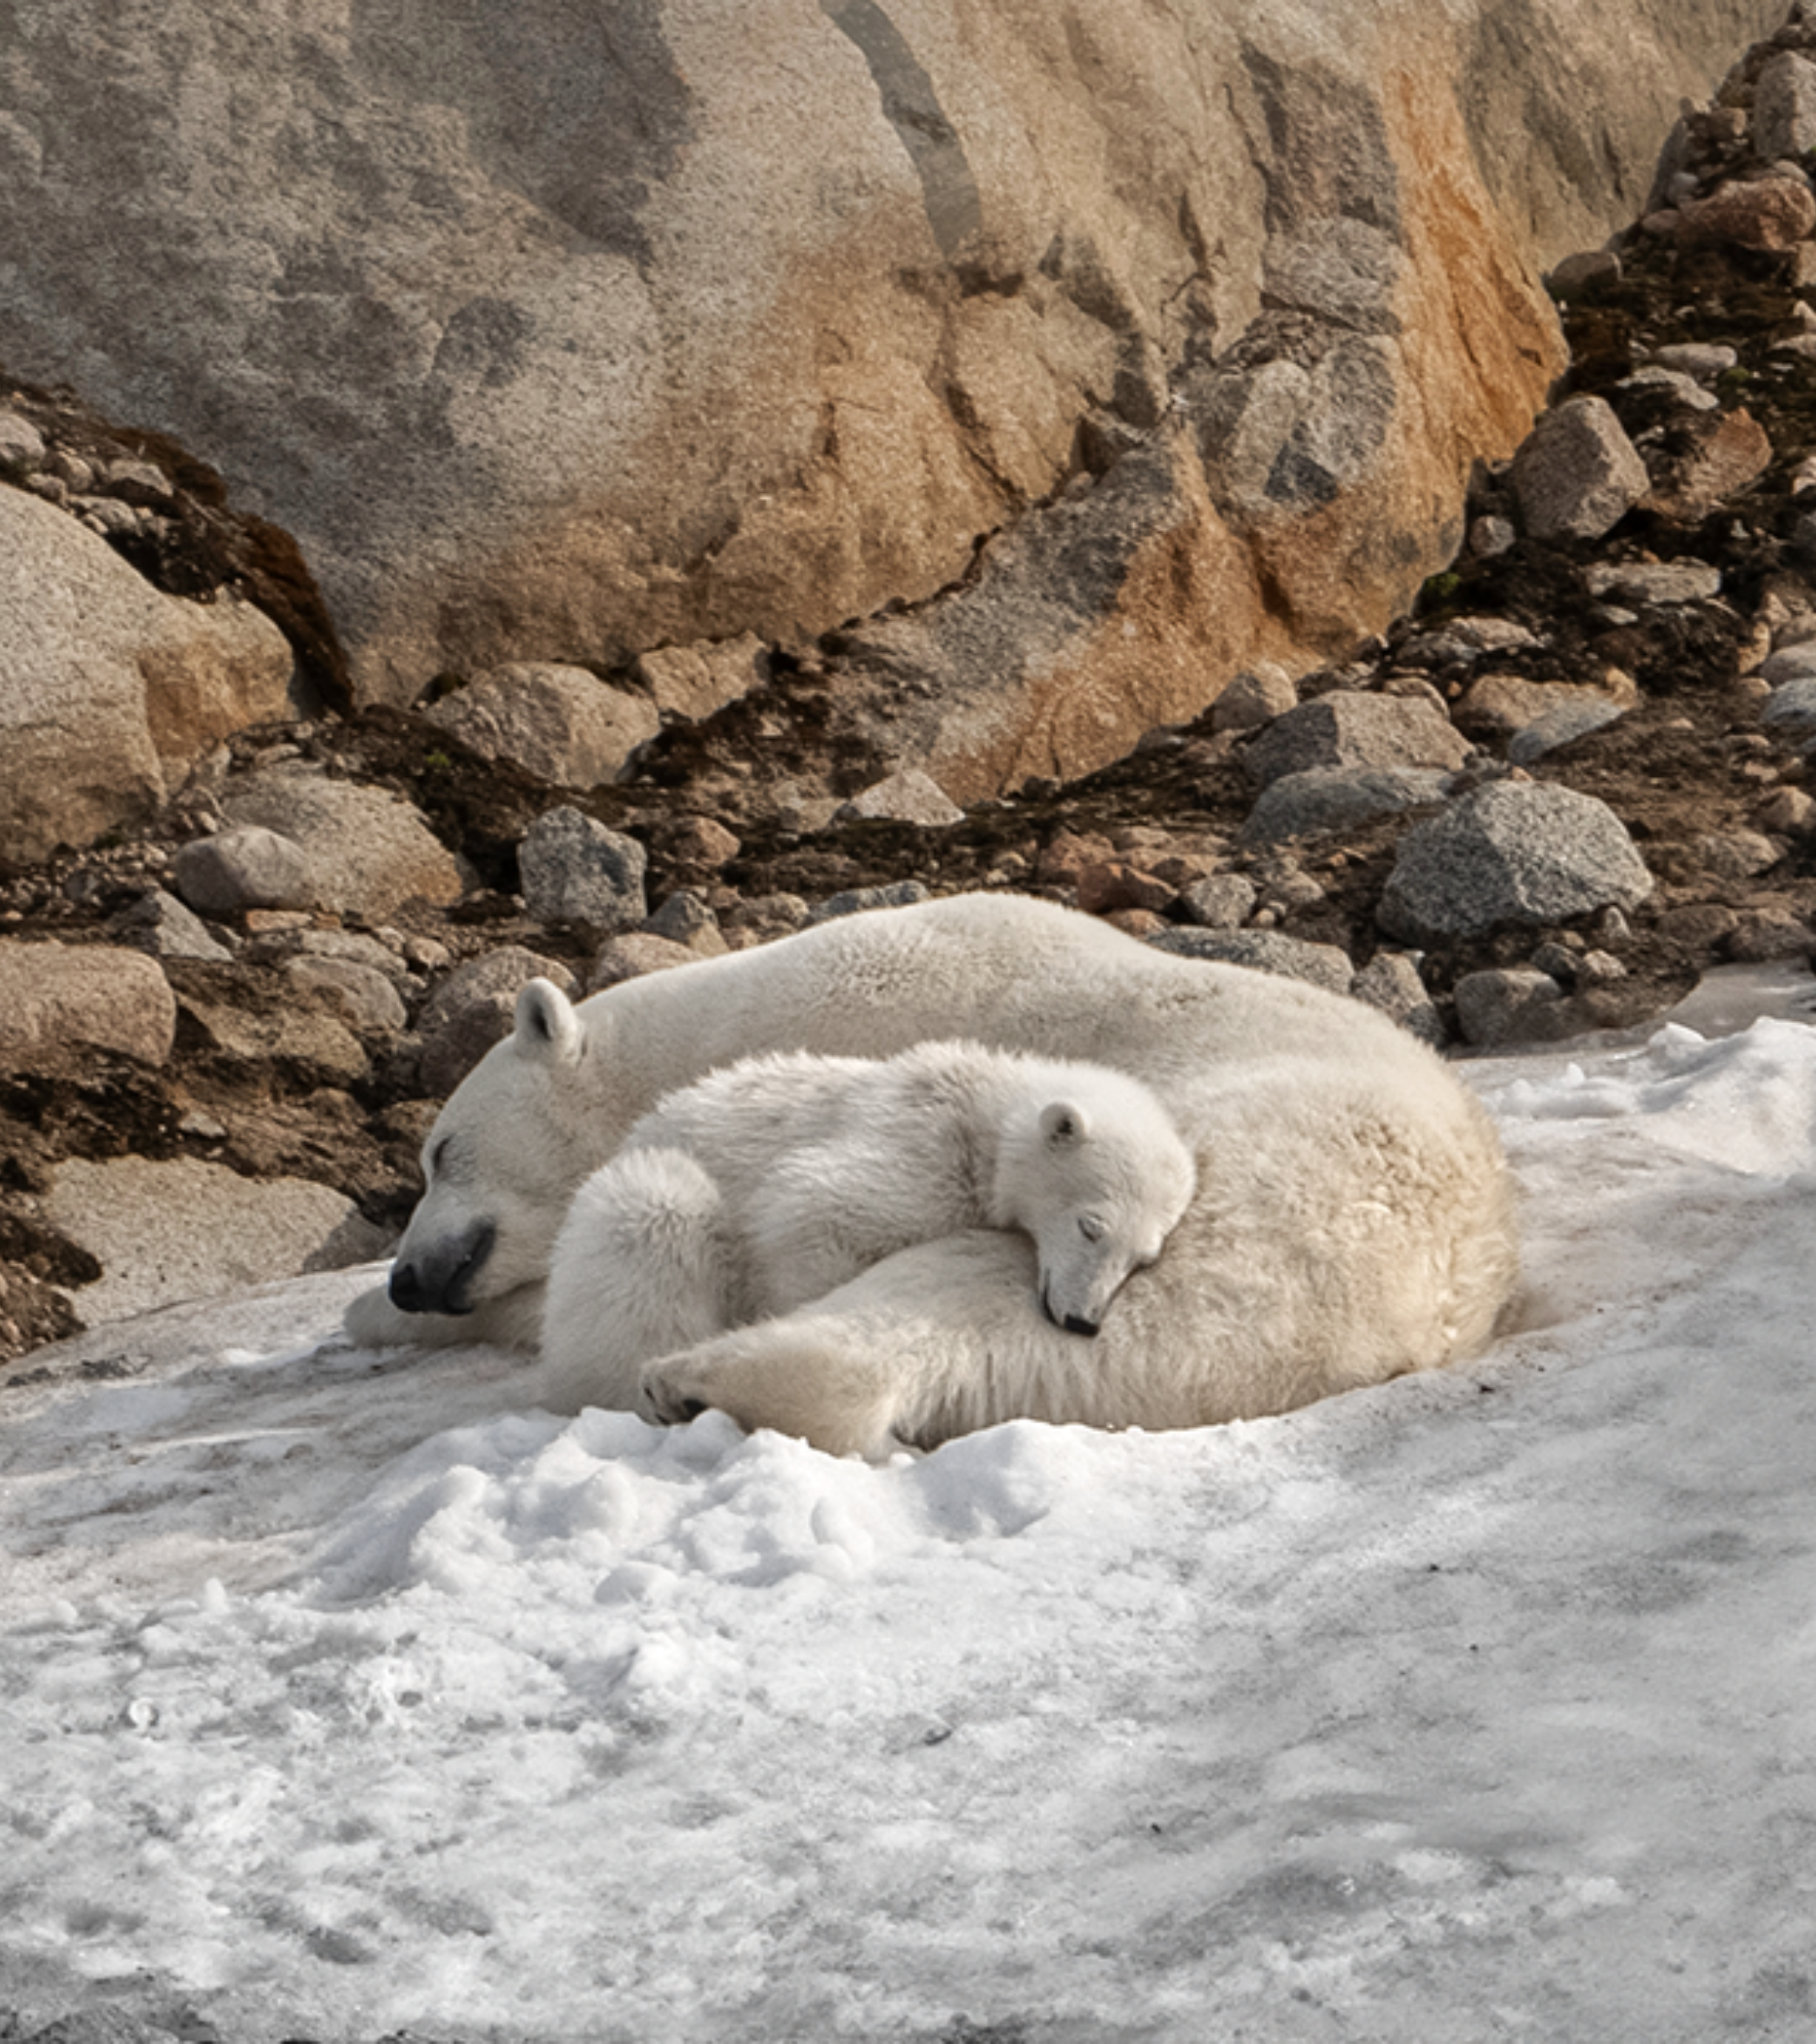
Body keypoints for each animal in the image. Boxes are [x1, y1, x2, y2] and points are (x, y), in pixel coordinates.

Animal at [537, 1039, 1199, 1417]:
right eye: (1091, 1226)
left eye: (1143, 1257)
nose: (1083, 1321)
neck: (979, 1119)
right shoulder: (915, 1153)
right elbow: (808, 1211)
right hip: (639, 1202)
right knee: (658, 1214)